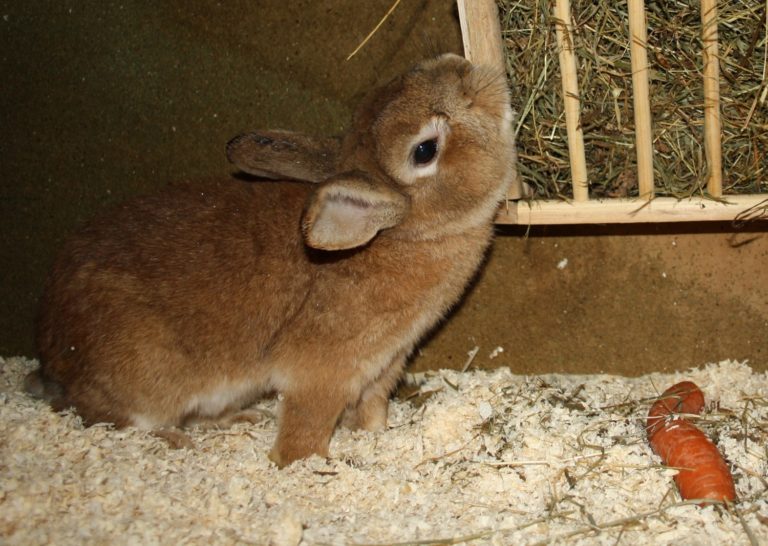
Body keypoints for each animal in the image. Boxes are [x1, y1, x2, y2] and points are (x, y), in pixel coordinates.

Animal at [28, 53, 517, 467]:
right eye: (424, 150)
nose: (468, 72)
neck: (402, 234)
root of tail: (52, 354)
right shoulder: (323, 373)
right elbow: (305, 429)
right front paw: (307, 465)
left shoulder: (384, 368)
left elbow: (371, 413)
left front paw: (374, 440)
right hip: (144, 376)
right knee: (120, 419)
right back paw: (175, 440)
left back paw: (238, 421)